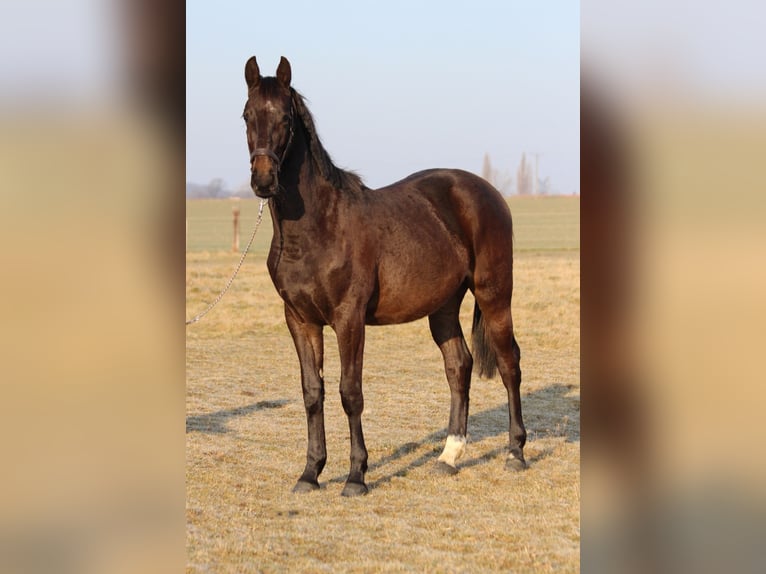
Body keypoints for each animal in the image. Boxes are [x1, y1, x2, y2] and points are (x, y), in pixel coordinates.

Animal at [243, 58, 524, 500]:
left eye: (286, 118)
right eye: (246, 115)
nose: (263, 180)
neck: (318, 227)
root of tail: (488, 192)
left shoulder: (349, 319)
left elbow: (350, 392)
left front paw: (356, 476)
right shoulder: (300, 320)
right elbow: (312, 392)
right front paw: (310, 473)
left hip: (495, 296)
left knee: (509, 362)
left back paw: (515, 452)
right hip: (443, 307)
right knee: (459, 366)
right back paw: (449, 456)